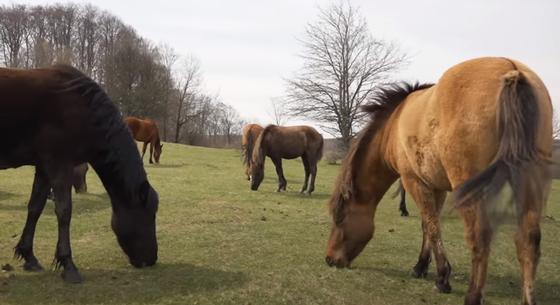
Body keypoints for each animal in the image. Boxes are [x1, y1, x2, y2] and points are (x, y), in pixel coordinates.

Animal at [0, 65, 158, 284]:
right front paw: (68, 264)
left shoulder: (44, 168)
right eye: (150, 214)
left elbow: (35, 208)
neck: (82, 108)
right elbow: (64, 212)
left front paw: (28, 255)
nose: (152, 259)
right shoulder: (60, 166)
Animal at [324, 57, 552, 304]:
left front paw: (442, 277)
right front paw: (421, 267)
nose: (329, 259)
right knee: (529, 240)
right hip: (529, 185)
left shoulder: (414, 181)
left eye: (339, 217)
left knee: (480, 236)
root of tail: (511, 70)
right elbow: (428, 225)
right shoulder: (436, 187)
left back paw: (472, 295)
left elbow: (432, 227)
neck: (394, 124)